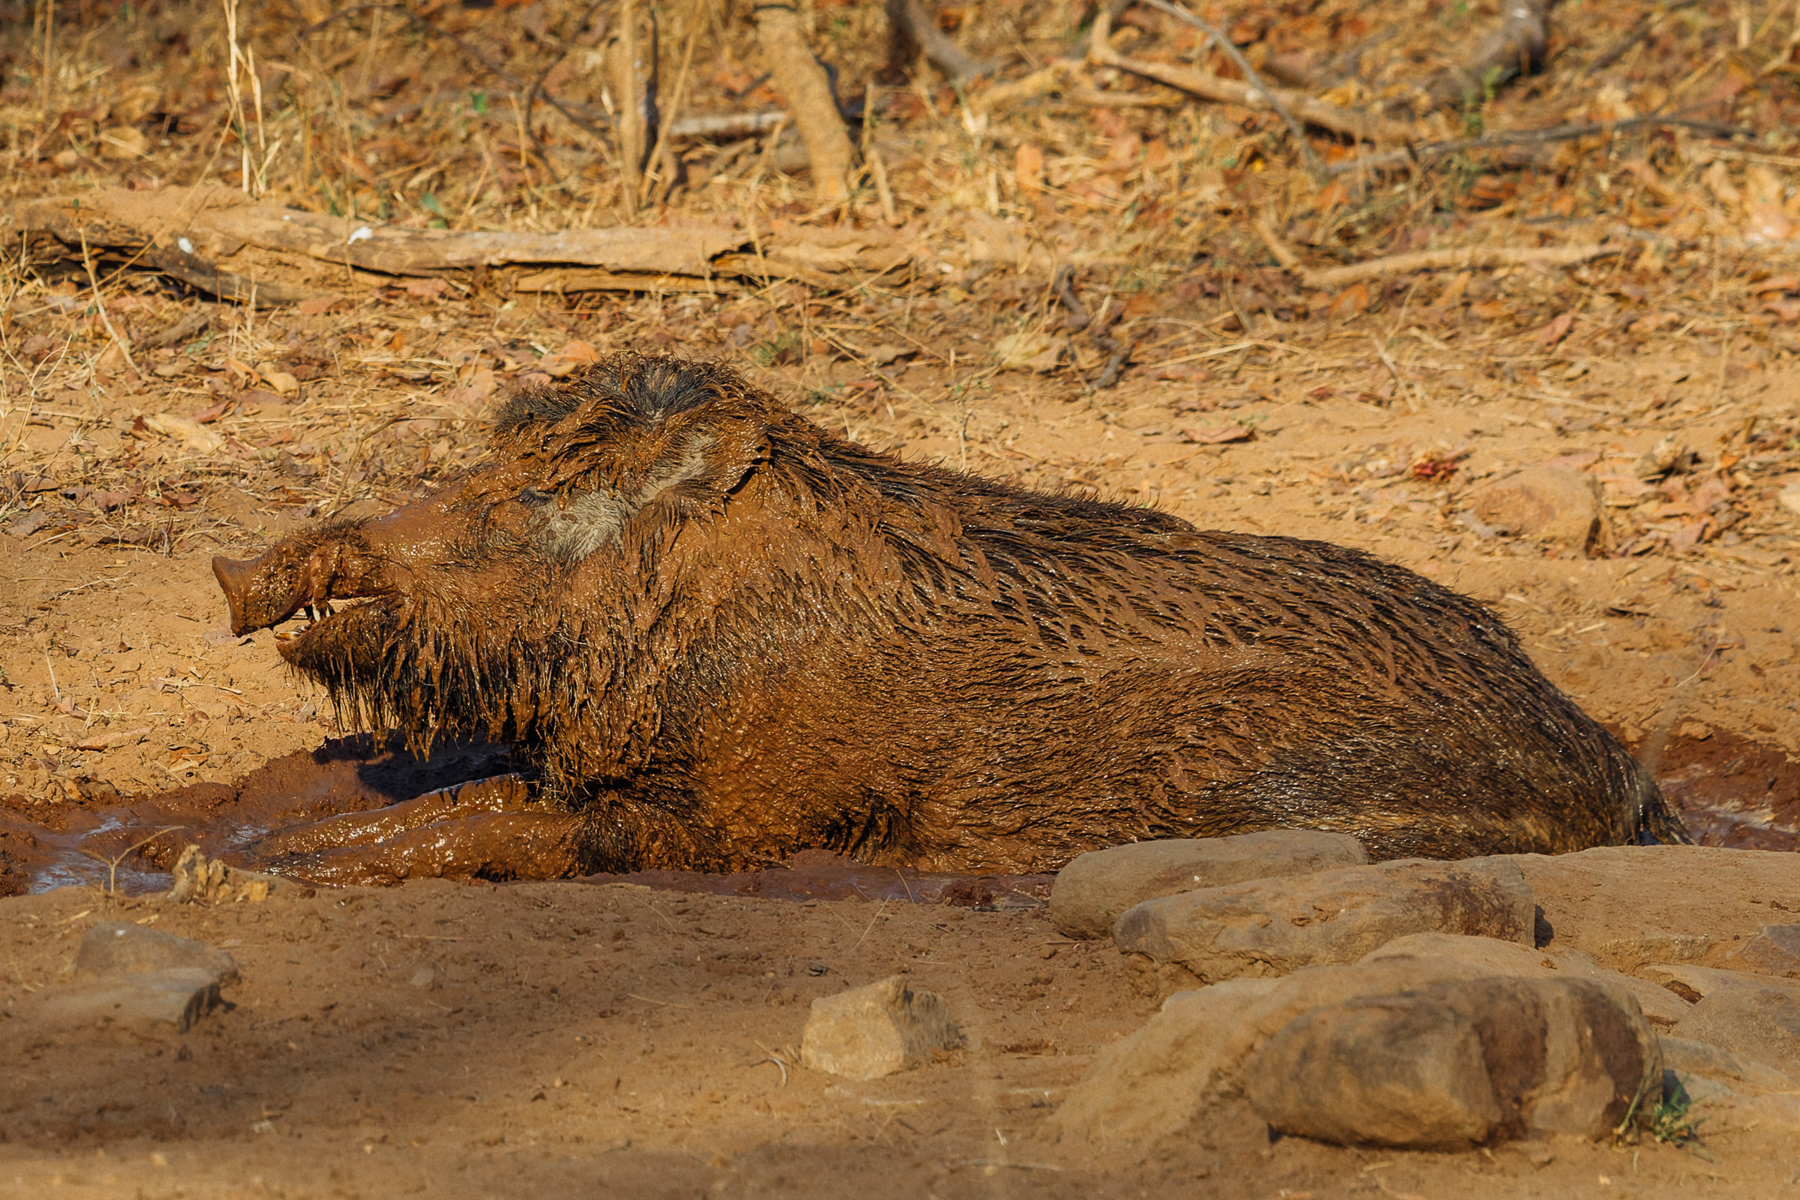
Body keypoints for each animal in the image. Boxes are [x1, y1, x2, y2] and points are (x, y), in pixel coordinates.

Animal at [212, 353, 1689, 884]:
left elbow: (507, 830)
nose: (239, 570)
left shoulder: (745, 819)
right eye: (505, 443)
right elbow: (454, 801)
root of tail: (1619, 768)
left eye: (558, 481)